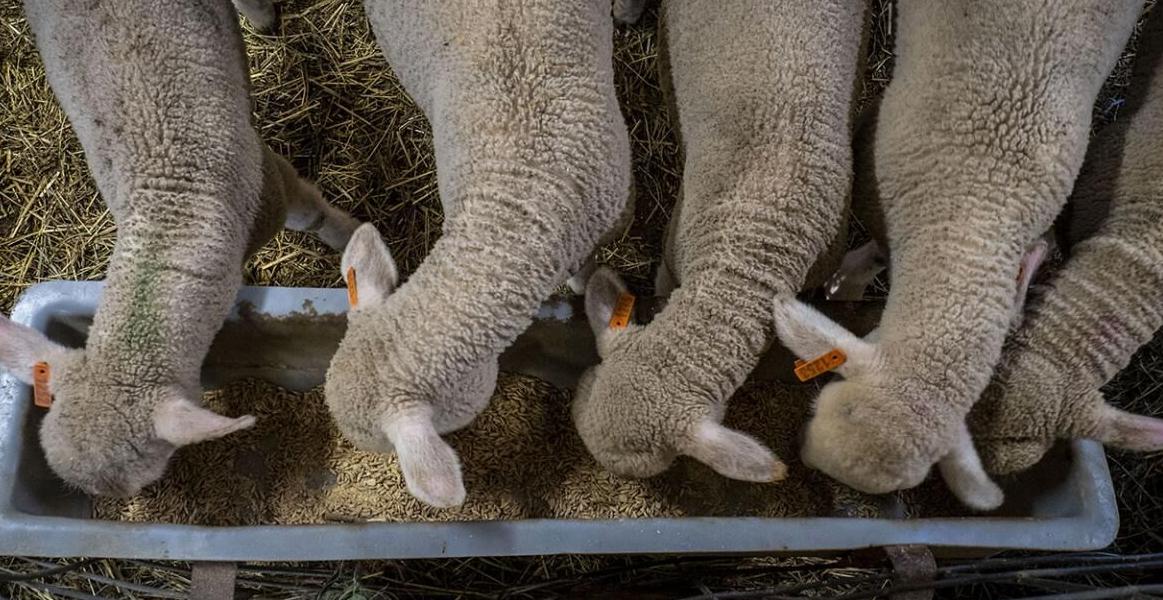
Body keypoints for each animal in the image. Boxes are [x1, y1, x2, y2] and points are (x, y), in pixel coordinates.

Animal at [0, 0, 360, 498]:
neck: (172, 213)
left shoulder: (269, 180)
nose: (130, 501)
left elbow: (315, 217)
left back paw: (261, 17)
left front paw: (354, 235)